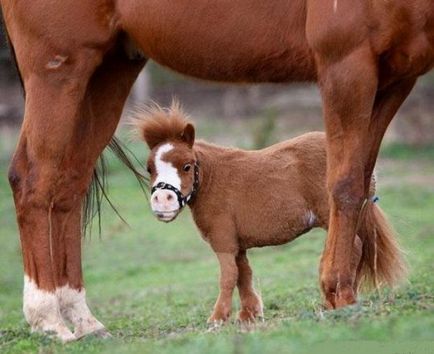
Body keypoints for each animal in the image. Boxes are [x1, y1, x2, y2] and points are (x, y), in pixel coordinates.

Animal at [132, 103, 406, 324]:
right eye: (149, 168)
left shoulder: (223, 242)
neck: (212, 180)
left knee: (354, 247)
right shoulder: (237, 244)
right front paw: (249, 314)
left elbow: (228, 276)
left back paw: (341, 298)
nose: (162, 202)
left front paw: (217, 318)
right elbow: (243, 274)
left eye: (187, 166)